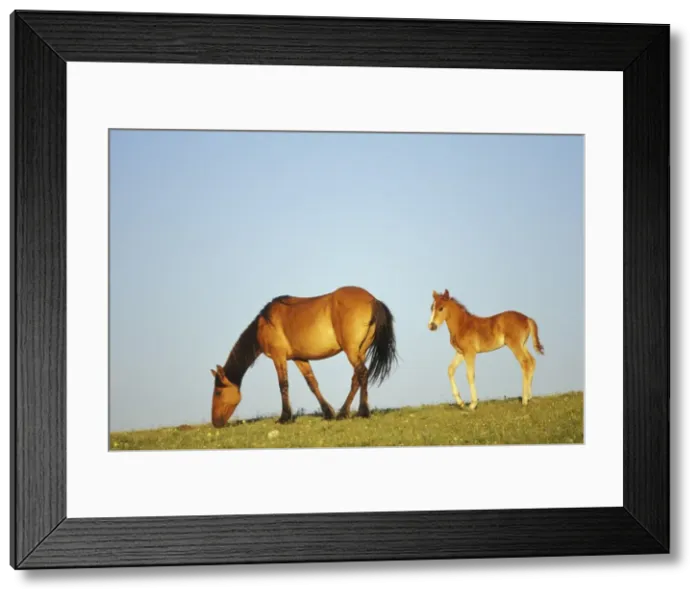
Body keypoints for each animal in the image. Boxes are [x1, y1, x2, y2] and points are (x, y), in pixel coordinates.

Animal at [210, 286, 399, 428]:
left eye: (218, 392)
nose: (215, 422)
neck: (264, 323)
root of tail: (373, 300)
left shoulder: (279, 357)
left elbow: (283, 385)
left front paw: (285, 417)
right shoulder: (299, 359)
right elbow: (312, 383)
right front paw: (327, 412)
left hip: (351, 350)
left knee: (362, 373)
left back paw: (357, 412)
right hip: (360, 350)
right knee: (357, 378)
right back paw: (347, 412)